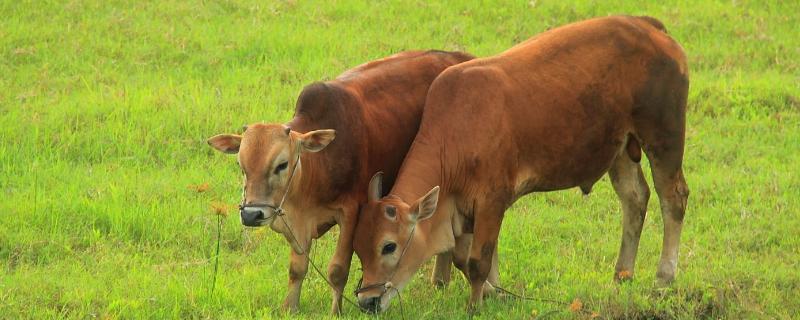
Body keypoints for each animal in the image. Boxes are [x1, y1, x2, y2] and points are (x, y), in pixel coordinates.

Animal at [208, 50, 476, 316]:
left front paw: (335, 311)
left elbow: (337, 270)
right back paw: (439, 281)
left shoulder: (350, 213)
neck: (317, 167)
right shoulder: (296, 223)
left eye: (282, 164)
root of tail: (461, 56)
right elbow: (297, 269)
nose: (251, 214)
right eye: (241, 165)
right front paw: (290, 307)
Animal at [354, 15, 692, 312]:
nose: (367, 301)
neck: (456, 132)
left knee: (673, 199)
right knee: (635, 198)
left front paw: (475, 305)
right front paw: (495, 294)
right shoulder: (459, 207)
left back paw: (663, 279)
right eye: (358, 249)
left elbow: (477, 262)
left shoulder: (492, 200)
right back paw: (622, 275)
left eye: (389, 246)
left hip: (664, 137)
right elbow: (464, 258)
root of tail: (648, 26)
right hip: (620, 148)